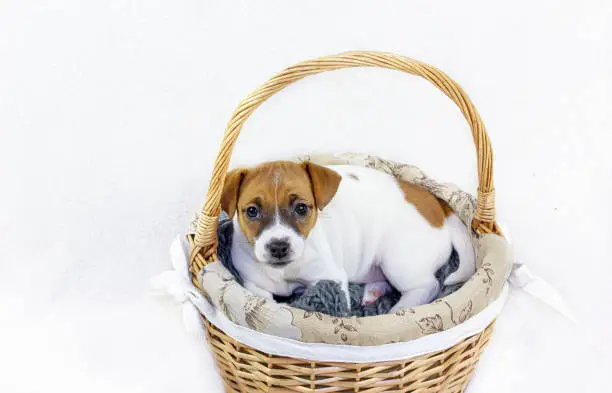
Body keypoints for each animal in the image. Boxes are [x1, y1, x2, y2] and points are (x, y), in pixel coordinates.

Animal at [222, 159, 476, 310]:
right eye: (252, 211)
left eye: (301, 208)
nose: (278, 247)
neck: (286, 272)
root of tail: (438, 206)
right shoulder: (251, 281)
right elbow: (262, 295)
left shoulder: (331, 277)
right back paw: (373, 291)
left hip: (398, 262)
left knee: (427, 286)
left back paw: (399, 308)